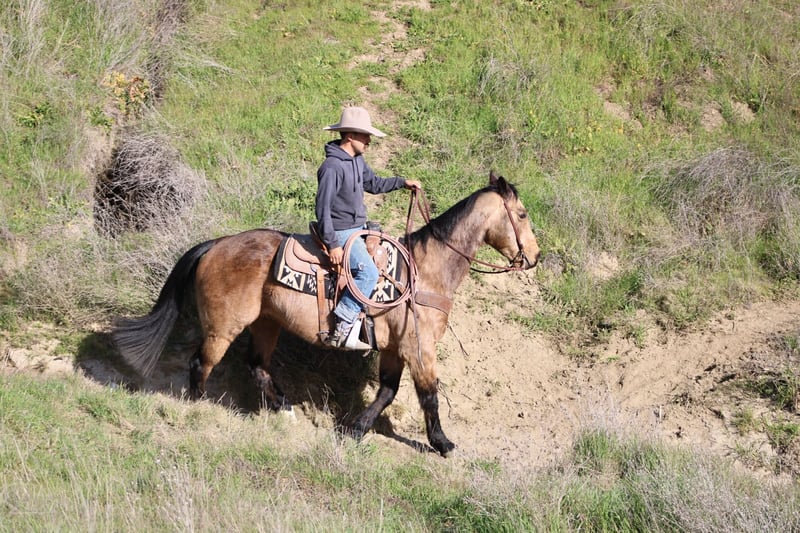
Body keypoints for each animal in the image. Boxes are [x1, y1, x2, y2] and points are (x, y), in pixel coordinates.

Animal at [113, 171, 540, 456]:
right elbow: (429, 396)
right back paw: (200, 410)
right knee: (201, 363)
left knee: (257, 366)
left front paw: (356, 429)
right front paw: (442, 443)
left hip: (267, 323)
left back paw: (284, 409)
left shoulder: (393, 349)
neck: (426, 271)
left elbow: (387, 392)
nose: (535, 257)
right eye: (521, 214)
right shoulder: (420, 349)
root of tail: (217, 244)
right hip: (224, 326)